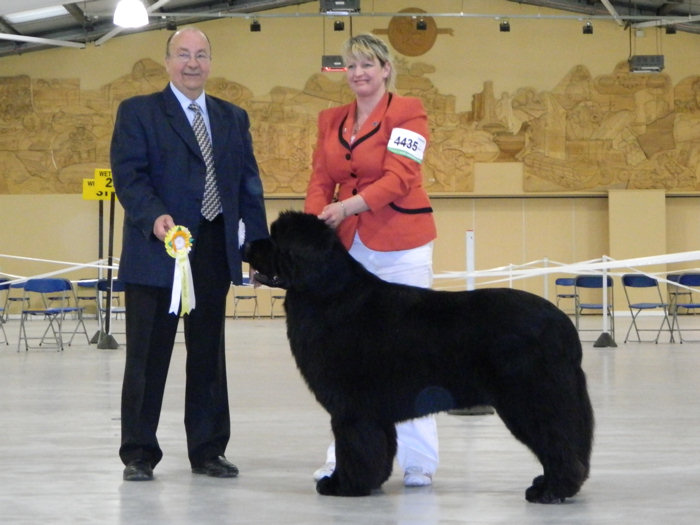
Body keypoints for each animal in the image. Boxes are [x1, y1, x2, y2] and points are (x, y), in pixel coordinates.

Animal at [245, 211, 592, 502]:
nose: (246, 243)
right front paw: (369, 482)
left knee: (557, 442)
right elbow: (378, 448)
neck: (327, 292)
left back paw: (551, 490)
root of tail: (563, 325)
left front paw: (344, 485)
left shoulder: (352, 407)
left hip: (531, 398)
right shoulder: (373, 412)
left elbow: (353, 447)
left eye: (276, 239)